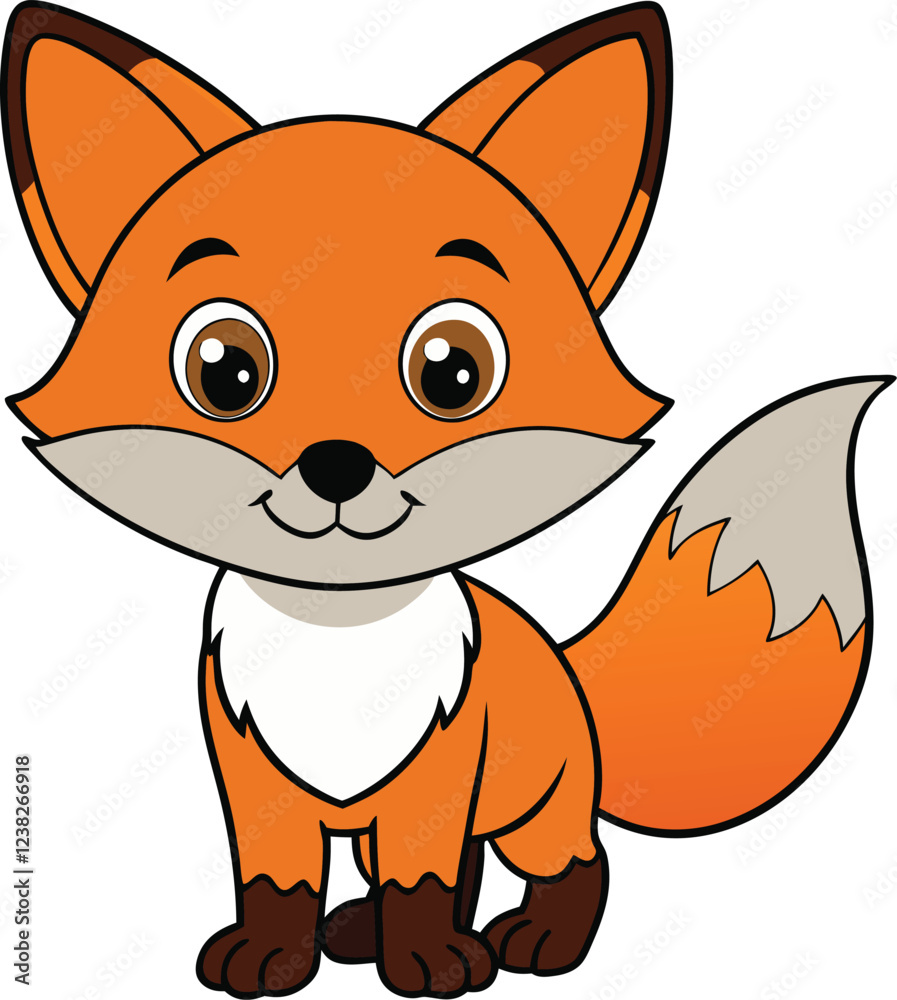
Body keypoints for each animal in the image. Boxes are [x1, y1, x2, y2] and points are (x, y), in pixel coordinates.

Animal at [1, 1, 889, 997]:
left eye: (454, 371)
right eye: (223, 369)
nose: (337, 464)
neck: (338, 635)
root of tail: (565, 666)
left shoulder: (434, 779)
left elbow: (421, 882)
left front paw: (426, 962)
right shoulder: (258, 784)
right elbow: (277, 885)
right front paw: (277, 957)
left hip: (536, 806)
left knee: (576, 861)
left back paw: (537, 944)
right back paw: (362, 933)